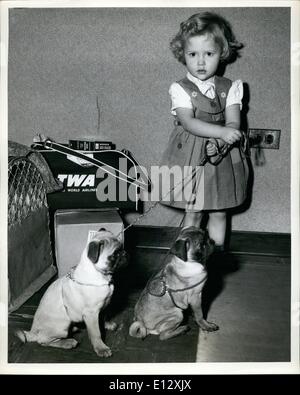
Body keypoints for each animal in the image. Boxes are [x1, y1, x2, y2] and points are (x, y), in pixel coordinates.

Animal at [15, 227, 126, 358]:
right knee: (43, 340)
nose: (125, 253)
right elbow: (96, 333)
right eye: (114, 255)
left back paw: (73, 330)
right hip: (61, 326)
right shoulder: (91, 313)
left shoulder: (103, 306)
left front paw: (107, 324)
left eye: (122, 248)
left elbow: (104, 316)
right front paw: (101, 348)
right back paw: (67, 342)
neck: (101, 276)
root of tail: (33, 331)